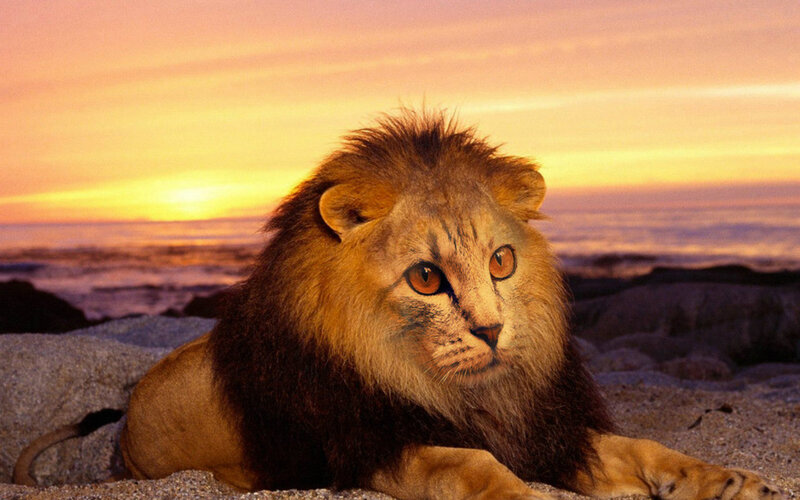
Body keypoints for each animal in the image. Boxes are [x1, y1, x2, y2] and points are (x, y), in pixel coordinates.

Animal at [16, 111, 784, 500]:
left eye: (502, 262)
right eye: (425, 278)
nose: (493, 331)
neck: (468, 392)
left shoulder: (543, 427)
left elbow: (645, 446)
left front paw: (729, 480)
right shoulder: (371, 444)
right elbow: (472, 467)